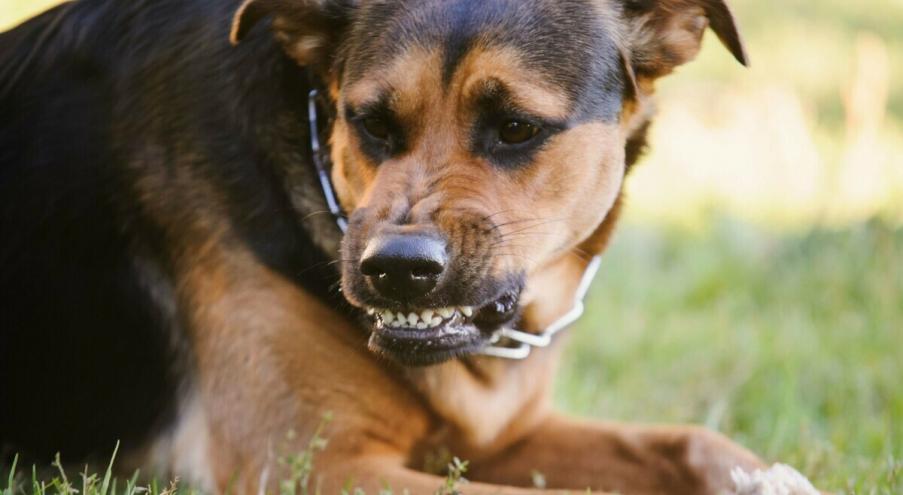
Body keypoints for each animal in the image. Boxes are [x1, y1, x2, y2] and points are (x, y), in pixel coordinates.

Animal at [0, 0, 804, 494]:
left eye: (516, 127)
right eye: (372, 124)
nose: (396, 269)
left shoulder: (502, 433)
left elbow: (684, 440)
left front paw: (766, 476)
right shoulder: (312, 466)